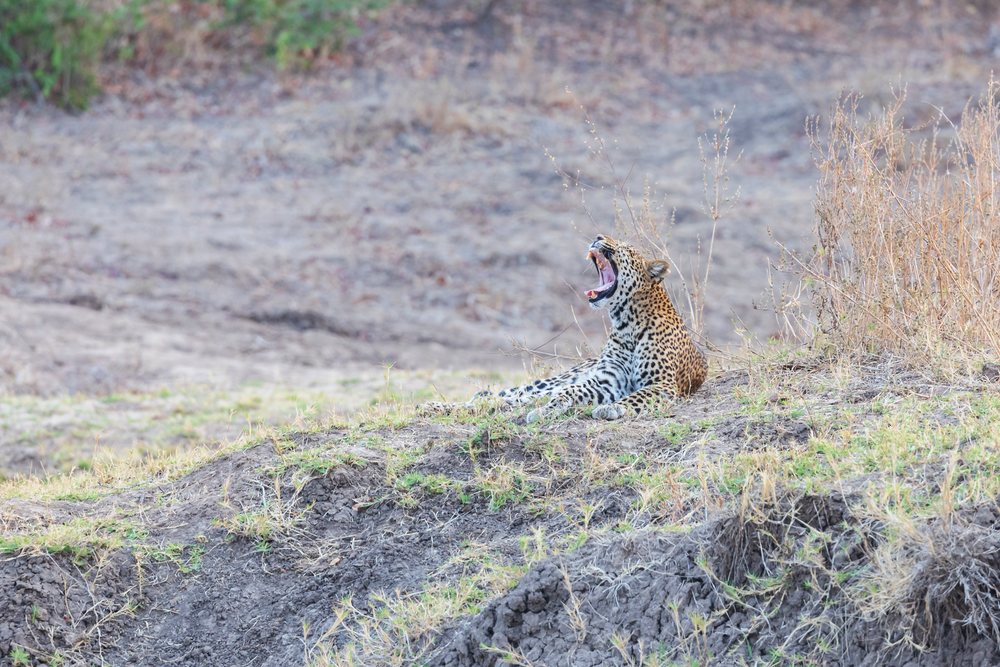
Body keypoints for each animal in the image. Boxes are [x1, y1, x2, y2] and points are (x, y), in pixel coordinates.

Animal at [471, 234, 707, 422]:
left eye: (625, 247)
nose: (598, 236)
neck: (626, 323)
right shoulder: (606, 380)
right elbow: (571, 390)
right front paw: (547, 410)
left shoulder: (662, 384)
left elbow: (636, 396)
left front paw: (613, 408)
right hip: (556, 379)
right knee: (522, 393)